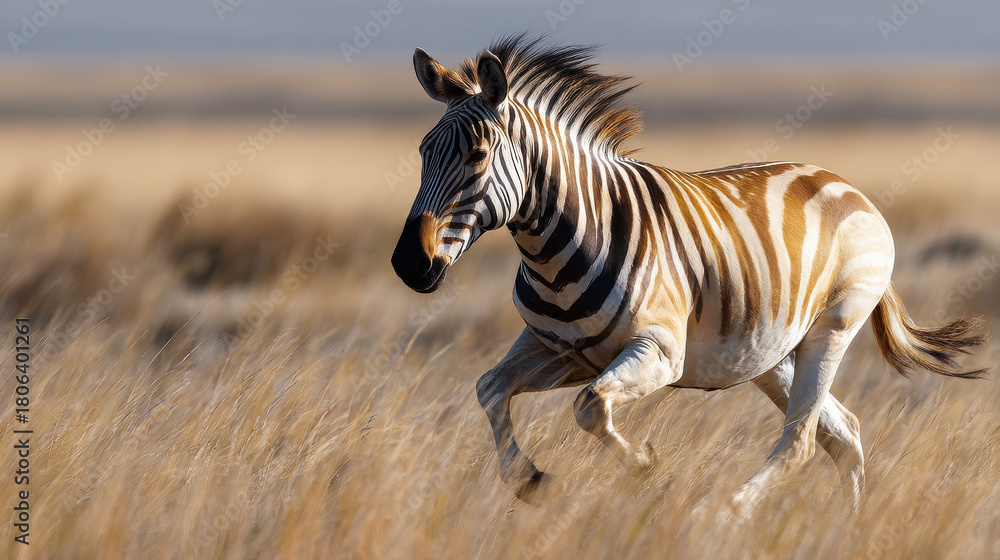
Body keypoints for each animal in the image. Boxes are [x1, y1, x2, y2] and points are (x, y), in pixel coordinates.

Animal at [390, 35, 988, 515]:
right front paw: (530, 480)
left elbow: (590, 408)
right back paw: (847, 528)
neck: (557, 248)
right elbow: (489, 388)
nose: (408, 264)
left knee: (799, 442)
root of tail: (840, 180)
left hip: (832, 328)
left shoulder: (658, 350)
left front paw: (646, 469)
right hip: (770, 351)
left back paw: (728, 511)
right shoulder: (558, 351)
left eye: (477, 154)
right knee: (842, 434)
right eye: (422, 151)